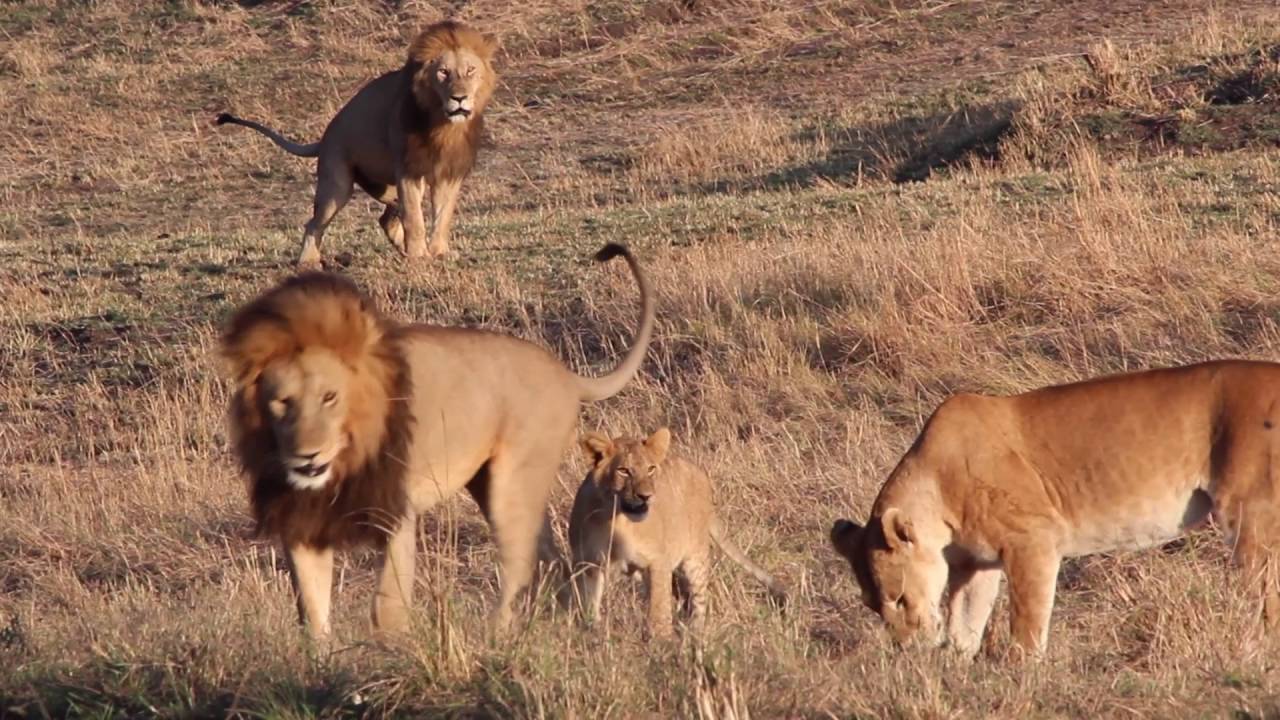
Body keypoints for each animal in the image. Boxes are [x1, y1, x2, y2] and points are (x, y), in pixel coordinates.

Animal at [215, 21, 497, 269]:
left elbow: (442, 216)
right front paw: (419, 256)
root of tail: (325, 136)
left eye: (470, 71)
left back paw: (401, 248)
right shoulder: (408, 170)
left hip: (384, 187)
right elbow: (415, 219)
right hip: (337, 185)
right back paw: (308, 262)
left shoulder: (449, 171)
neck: (443, 124)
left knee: (386, 218)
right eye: (443, 72)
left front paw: (438, 253)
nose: (459, 98)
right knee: (314, 223)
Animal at [220, 243, 653, 640]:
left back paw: (496, 638)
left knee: (520, 563)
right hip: (494, 485)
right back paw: (564, 626)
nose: (307, 456)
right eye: (282, 402)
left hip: (511, 485)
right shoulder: (303, 521)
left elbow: (387, 607)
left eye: (330, 397)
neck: (343, 460)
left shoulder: (395, 511)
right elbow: (312, 614)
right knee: (552, 560)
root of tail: (564, 373)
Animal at [569, 428, 787, 638]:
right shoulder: (588, 563)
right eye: (623, 471)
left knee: (699, 598)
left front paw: (661, 640)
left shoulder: (657, 561)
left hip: (695, 558)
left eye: (651, 469)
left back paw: (696, 634)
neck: (617, 518)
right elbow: (588, 602)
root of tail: (702, 475)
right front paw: (593, 632)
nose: (646, 496)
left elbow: (659, 607)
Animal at [830, 360, 1280, 657]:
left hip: (1250, 514)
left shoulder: (1033, 539)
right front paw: (957, 671)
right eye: (872, 605)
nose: (906, 648)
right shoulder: (977, 563)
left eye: (899, 598)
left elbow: (1027, 619)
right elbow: (965, 621)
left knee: (1266, 591)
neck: (937, 487)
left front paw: (1022, 672)